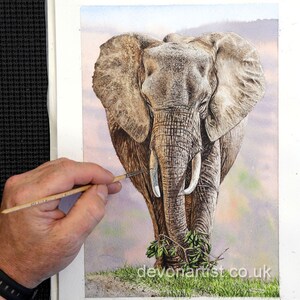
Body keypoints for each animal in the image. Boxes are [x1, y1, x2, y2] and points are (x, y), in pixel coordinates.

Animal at [92, 31, 264, 268]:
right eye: (147, 102)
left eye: (203, 102)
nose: (197, 258)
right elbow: (156, 190)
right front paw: (175, 267)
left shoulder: (210, 126)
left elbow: (204, 185)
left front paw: (198, 268)